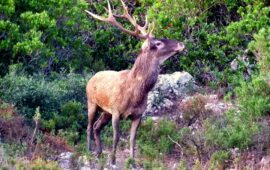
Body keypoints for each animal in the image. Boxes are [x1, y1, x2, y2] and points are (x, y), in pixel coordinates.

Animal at [85, 0, 185, 167]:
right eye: (158, 43)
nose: (181, 44)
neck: (136, 92)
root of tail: (91, 78)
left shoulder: (138, 114)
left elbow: (133, 139)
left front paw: (132, 162)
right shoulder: (116, 111)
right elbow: (117, 137)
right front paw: (112, 160)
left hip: (105, 111)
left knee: (96, 127)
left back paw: (99, 152)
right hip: (92, 102)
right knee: (89, 126)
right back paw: (89, 152)